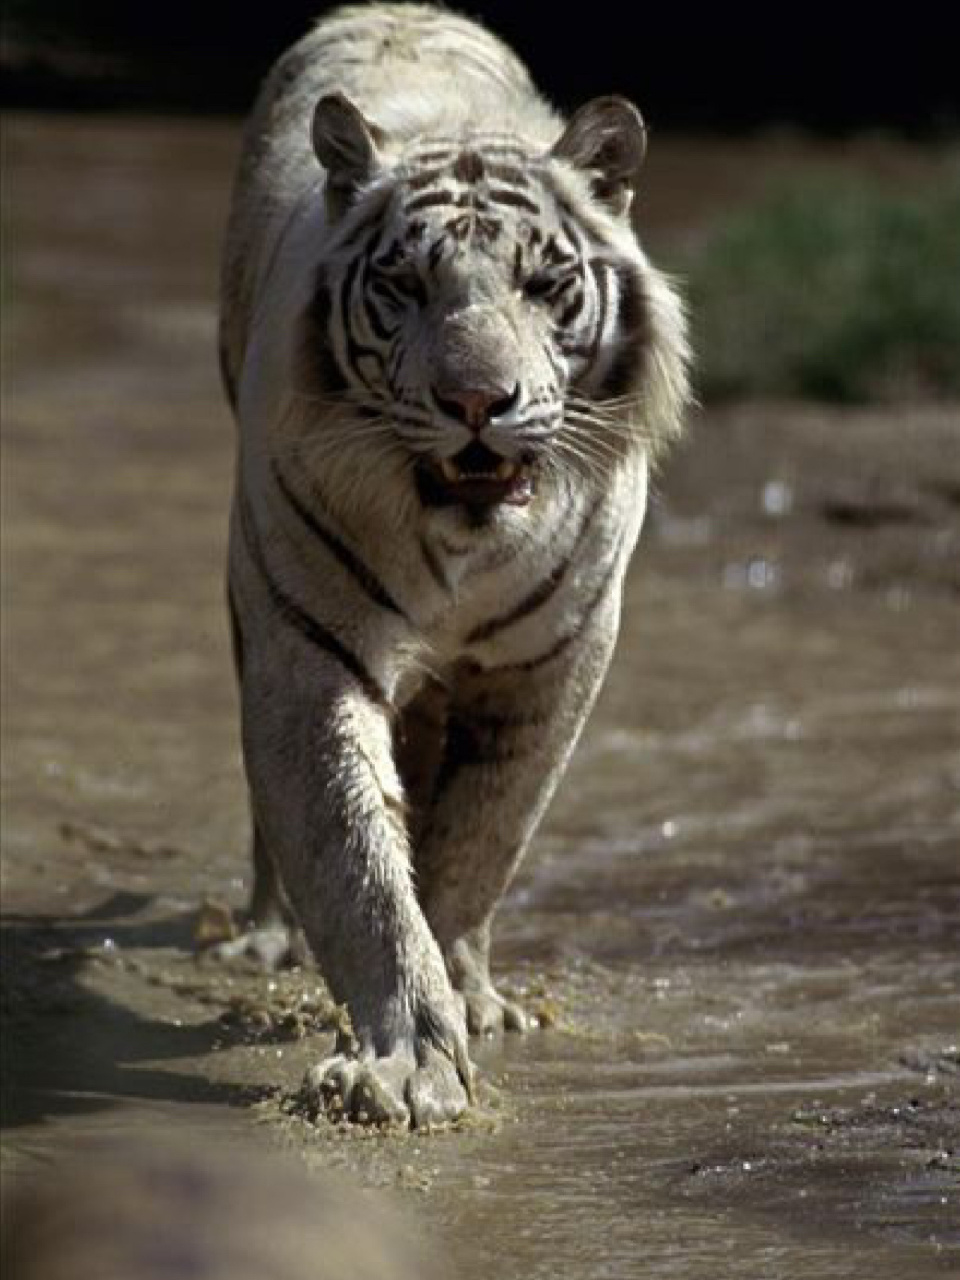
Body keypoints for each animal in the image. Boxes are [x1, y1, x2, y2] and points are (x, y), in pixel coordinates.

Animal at [219, 2, 689, 1129]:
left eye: (544, 284)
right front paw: (404, 1061)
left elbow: (482, 837)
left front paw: (463, 998)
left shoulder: (554, 661)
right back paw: (268, 936)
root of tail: (394, 7)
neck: (460, 554)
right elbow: (356, 864)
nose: (478, 400)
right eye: (404, 285)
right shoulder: (307, 647)